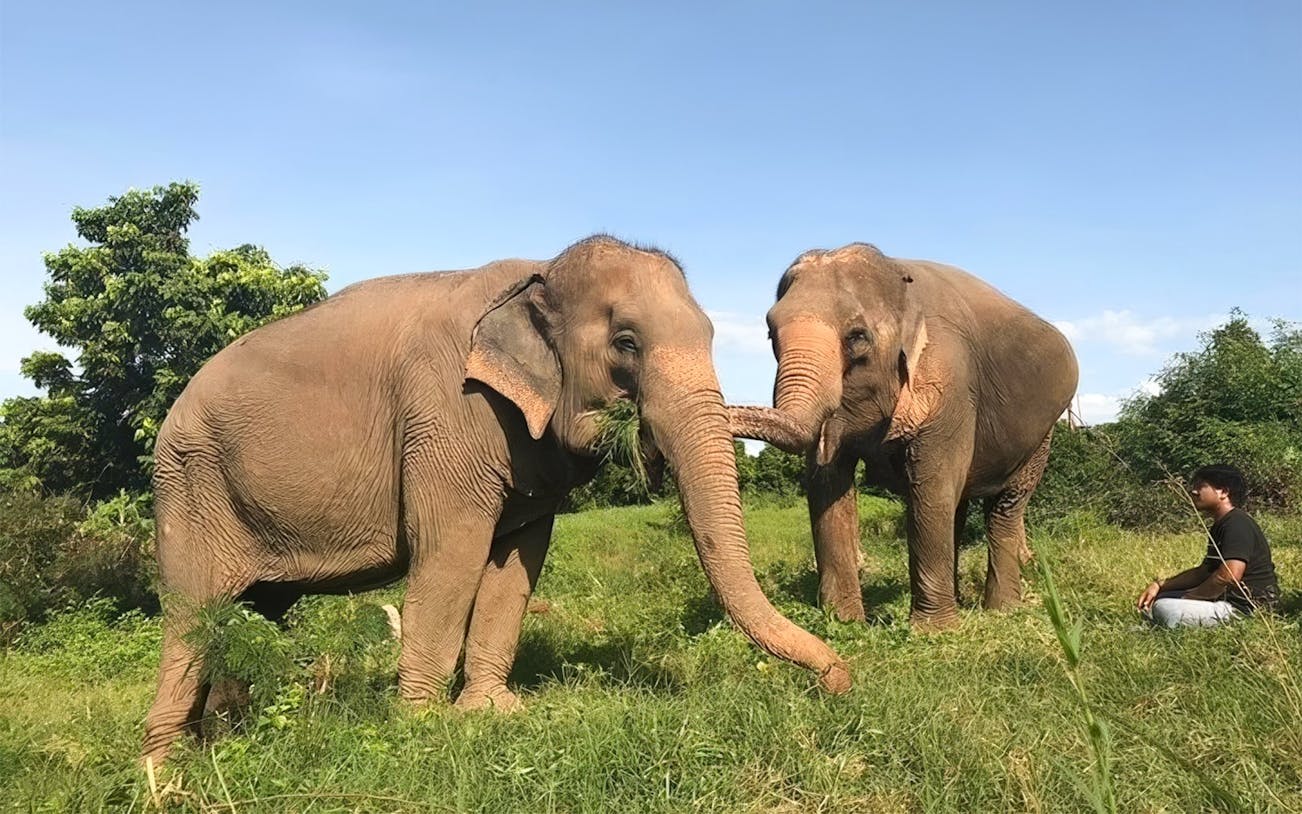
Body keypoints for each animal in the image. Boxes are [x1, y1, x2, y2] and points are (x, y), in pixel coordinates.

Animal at [142, 235, 850, 762]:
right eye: (624, 342)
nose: (839, 682)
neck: (536, 275)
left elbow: (517, 561)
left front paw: (493, 710)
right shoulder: (447, 414)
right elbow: (453, 555)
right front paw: (424, 727)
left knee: (252, 613)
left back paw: (231, 741)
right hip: (188, 487)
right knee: (192, 618)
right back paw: (168, 772)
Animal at [729, 243, 1078, 629]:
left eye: (857, 337)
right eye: (770, 334)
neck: (897, 278)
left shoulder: (950, 378)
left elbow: (931, 484)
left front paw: (933, 633)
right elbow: (827, 485)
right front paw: (844, 624)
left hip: (1042, 435)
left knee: (1003, 507)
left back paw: (1001, 611)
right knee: (957, 506)